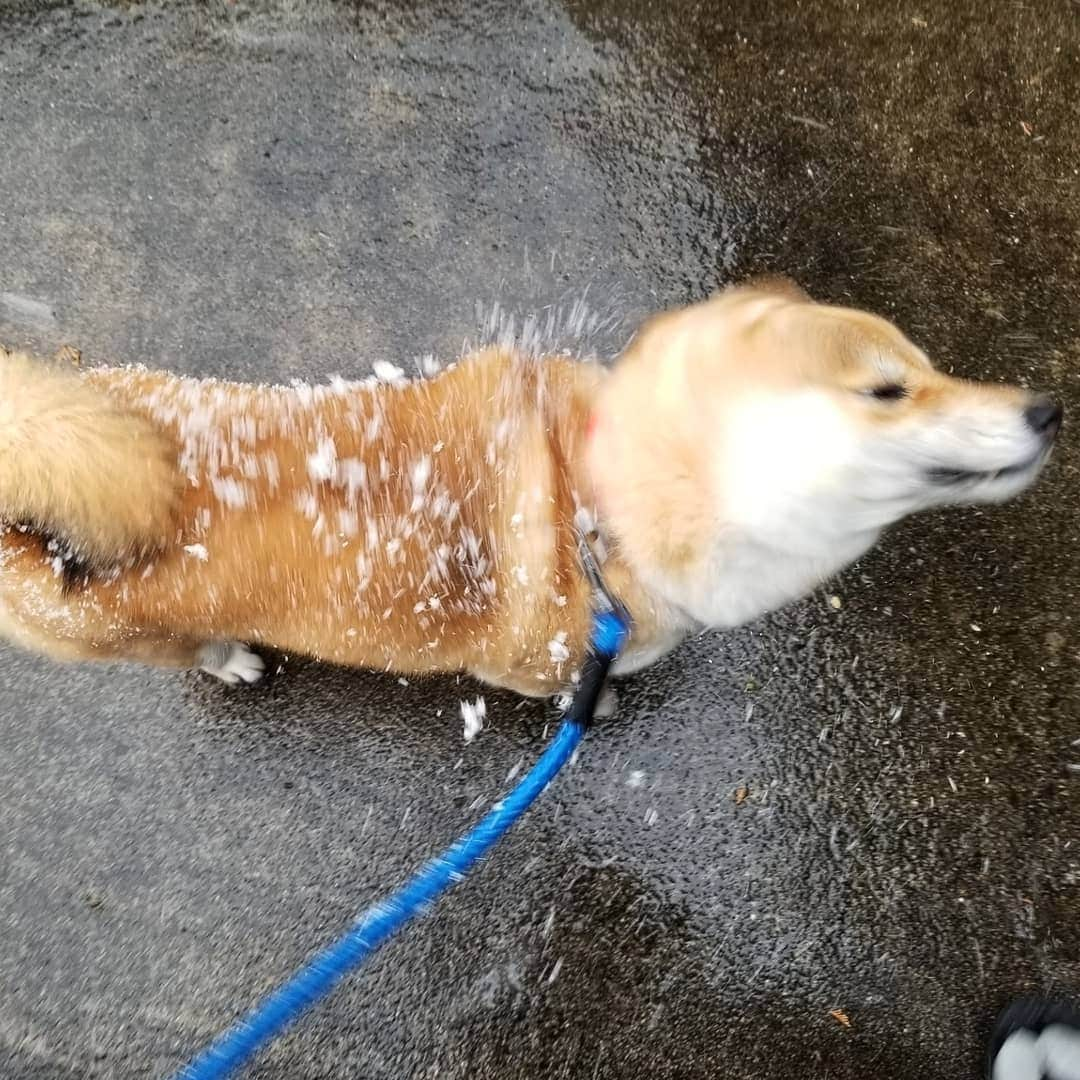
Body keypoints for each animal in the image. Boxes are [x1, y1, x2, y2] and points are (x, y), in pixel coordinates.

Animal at [0, 278, 1062, 695]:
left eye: (927, 365)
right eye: (889, 390)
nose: (1049, 407)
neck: (602, 513)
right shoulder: (525, 666)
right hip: (138, 631)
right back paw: (230, 661)